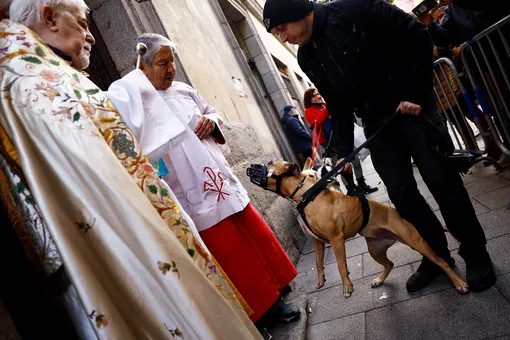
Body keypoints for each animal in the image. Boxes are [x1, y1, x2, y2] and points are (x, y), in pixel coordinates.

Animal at [264, 158, 468, 296]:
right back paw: (379, 280)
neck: (307, 193)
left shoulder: (336, 239)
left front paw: (347, 287)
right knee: (389, 264)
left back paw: (459, 283)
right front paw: (320, 280)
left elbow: (341, 265)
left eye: (270, 163)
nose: (256, 167)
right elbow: (318, 262)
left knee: (441, 262)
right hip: (375, 249)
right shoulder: (317, 242)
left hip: (415, 241)